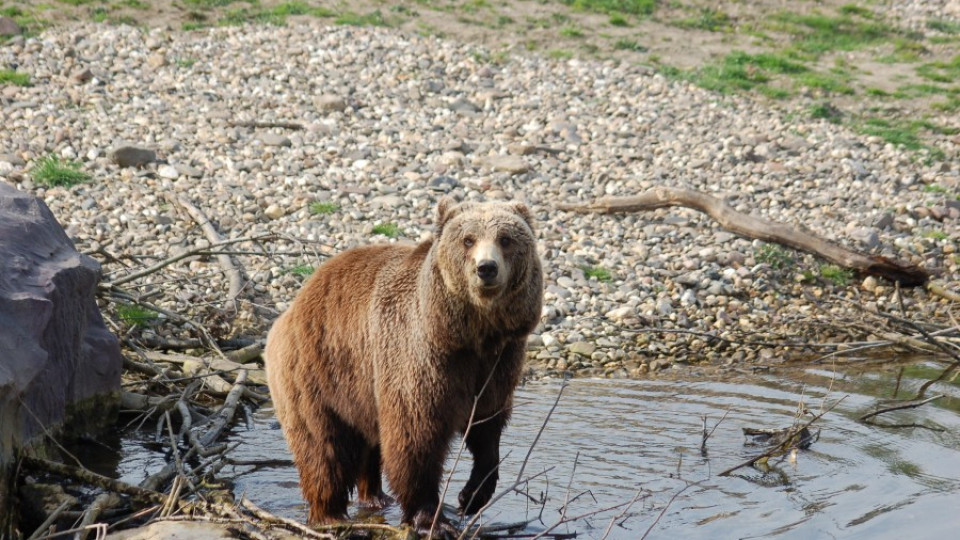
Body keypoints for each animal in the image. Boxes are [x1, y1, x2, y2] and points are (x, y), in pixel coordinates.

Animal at [266, 198, 544, 536]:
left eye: (505, 238)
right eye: (468, 239)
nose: (486, 268)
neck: (470, 334)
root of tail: (292, 306)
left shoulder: (497, 365)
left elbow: (486, 429)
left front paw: (470, 496)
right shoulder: (421, 359)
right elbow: (414, 438)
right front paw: (432, 519)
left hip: (361, 387)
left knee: (369, 442)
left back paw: (374, 497)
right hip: (318, 373)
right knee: (323, 448)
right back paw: (328, 514)